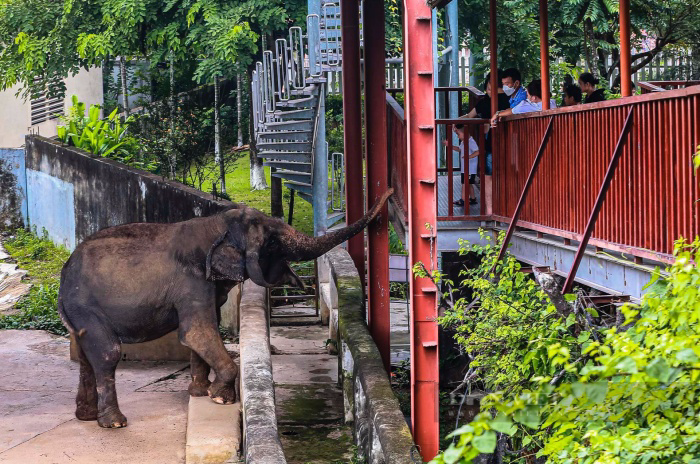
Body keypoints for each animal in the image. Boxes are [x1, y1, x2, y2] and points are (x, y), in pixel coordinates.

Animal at [56, 188, 392, 428]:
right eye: (271, 242)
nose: (388, 192)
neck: (214, 223)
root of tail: (64, 272)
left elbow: (202, 331)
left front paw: (199, 392)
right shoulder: (191, 282)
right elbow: (196, 332)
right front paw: (221, 398)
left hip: (77, 312)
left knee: (86, 356)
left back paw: (86, 417)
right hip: (85, 305)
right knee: (107, 352)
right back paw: (114, 423)